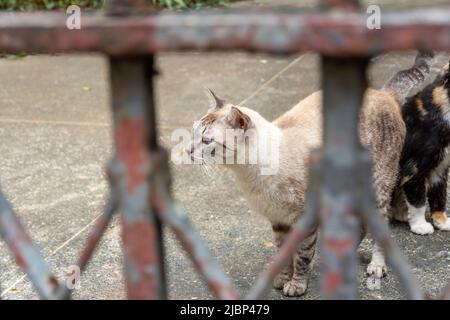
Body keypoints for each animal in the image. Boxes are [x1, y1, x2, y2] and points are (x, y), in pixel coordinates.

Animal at [187, 52, 432, 296]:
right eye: (194, 134)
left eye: (207, 141)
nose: (188, 151)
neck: (249, 176)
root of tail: (383, 93)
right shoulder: (279, 220)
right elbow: (284, 253)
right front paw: (283, 278)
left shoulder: (304, 218)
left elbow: (302, 256)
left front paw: (296, 285)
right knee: (359, 226)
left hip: (377, 188)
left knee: (380, 227)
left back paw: (375, 265)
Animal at [398, 61, 450, 234]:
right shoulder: (413, 167)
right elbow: (418, 198)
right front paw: (420, 225)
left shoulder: (441, 167)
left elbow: (440, 195)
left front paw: (442, 221)